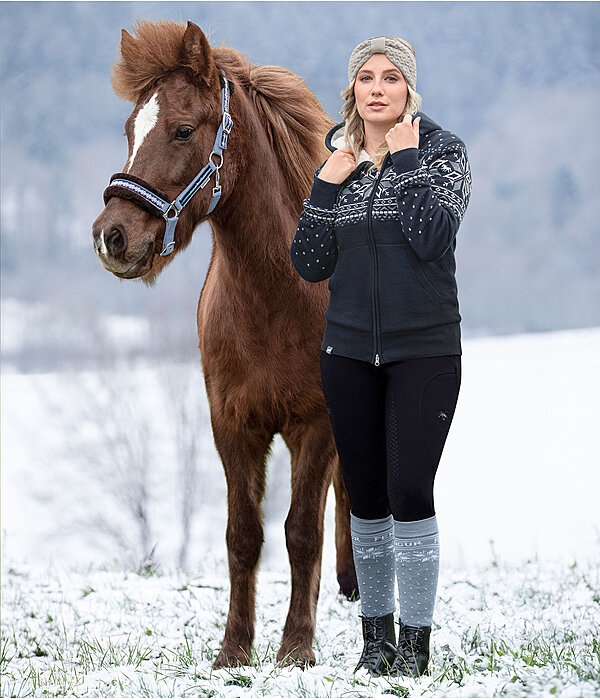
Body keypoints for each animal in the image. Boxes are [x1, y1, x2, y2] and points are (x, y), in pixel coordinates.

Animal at [91, 20, 358, 668]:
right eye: (130, 129)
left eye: (184, 129)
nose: (112, 235)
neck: (278, 295)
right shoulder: (232, 425)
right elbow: (245, 534)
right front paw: (234, 651)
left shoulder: (316, 425)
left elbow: (301, 532)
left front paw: (295, 651)